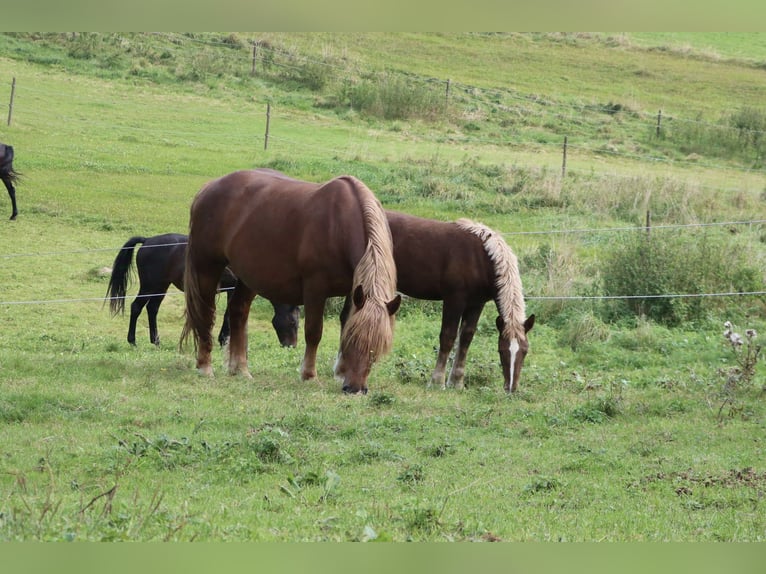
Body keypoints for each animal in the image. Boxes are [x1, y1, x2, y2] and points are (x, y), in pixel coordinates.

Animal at [106, 234, 302, 352]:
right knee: (136, 307)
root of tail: (147, 241)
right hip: (150, 286)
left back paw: (156, 341)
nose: (291, 346)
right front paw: (224, 340)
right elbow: (229, 315)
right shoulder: (233, 289)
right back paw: (132, 340)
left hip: (160, 287)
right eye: (293, 322)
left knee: (152, 309)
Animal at [184, 170, 404, 396]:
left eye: (377, 348)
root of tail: (208, 188)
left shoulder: (354, 291)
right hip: (207, 267)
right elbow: (314, 332)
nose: (355, 389)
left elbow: (345, 322)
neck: (338, 225)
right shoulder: (315, 288)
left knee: (238, 311)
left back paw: (240, 370)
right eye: (355, 342)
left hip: (249, 276)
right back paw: (205, 367)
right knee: (206, 314)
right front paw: (309, 375)